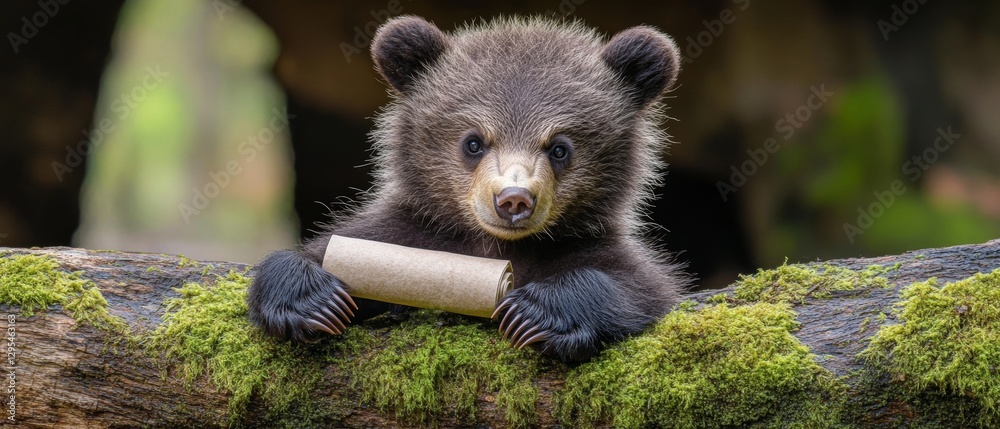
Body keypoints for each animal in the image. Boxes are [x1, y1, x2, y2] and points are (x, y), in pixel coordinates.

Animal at [247, 15, 690, 363]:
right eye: (473, 142)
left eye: (560, 148)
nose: (513, 199)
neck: (494, 244)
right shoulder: (409, 233)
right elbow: (332, 252)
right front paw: (312, 299)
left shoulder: (583, 245)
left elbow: (642, 286)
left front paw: (534, 312)